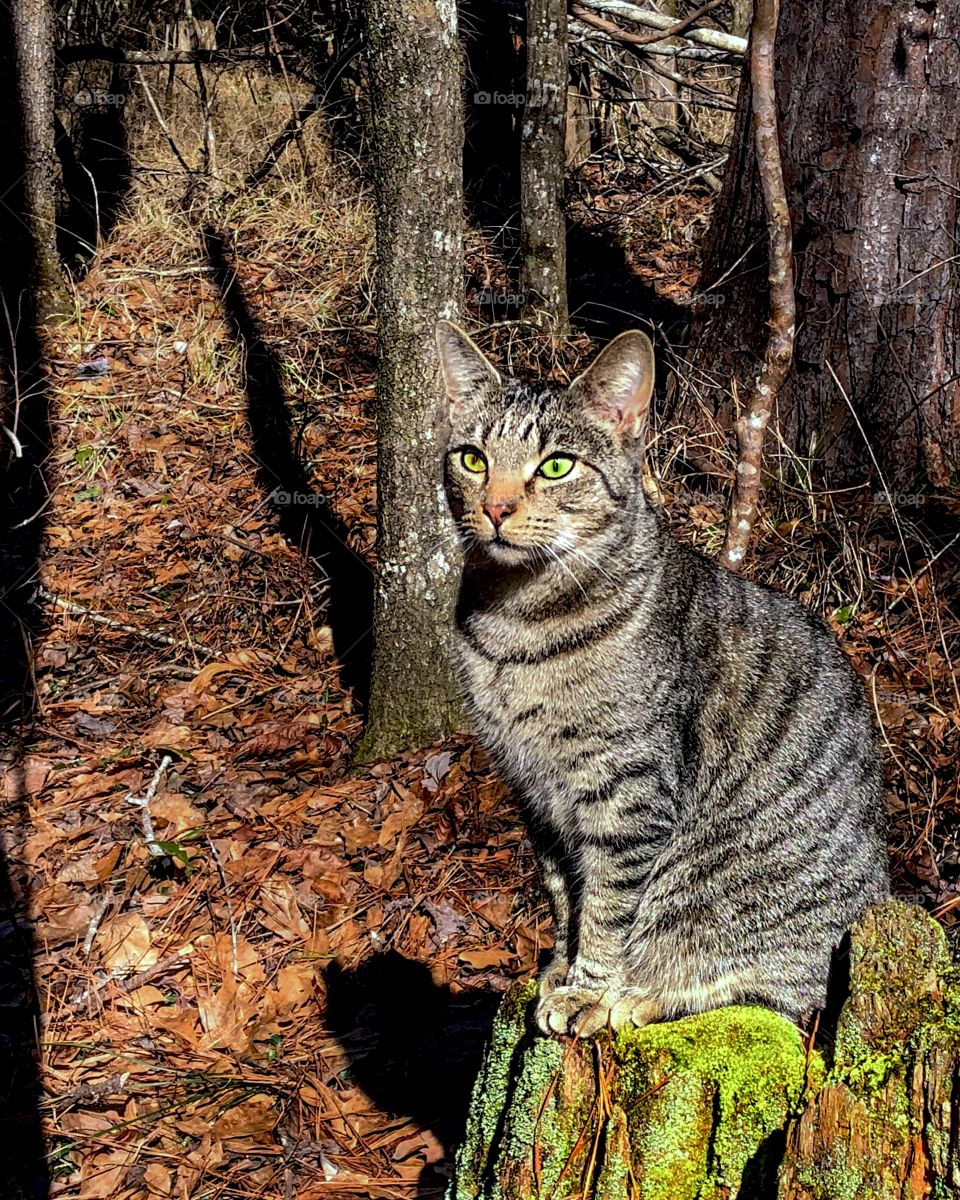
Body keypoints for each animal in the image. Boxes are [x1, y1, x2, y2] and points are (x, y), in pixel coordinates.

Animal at [439, 321, 888, 1041]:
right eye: (473, 459)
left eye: (557, 465)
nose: (497, 507)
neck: (514, 624)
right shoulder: (534, 792)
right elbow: (565, 894)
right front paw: (558, 968)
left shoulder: (626, 793)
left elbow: (606, 907)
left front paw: (587, 990)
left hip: (751, 912)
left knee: (774, 998)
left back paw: (641, 997)